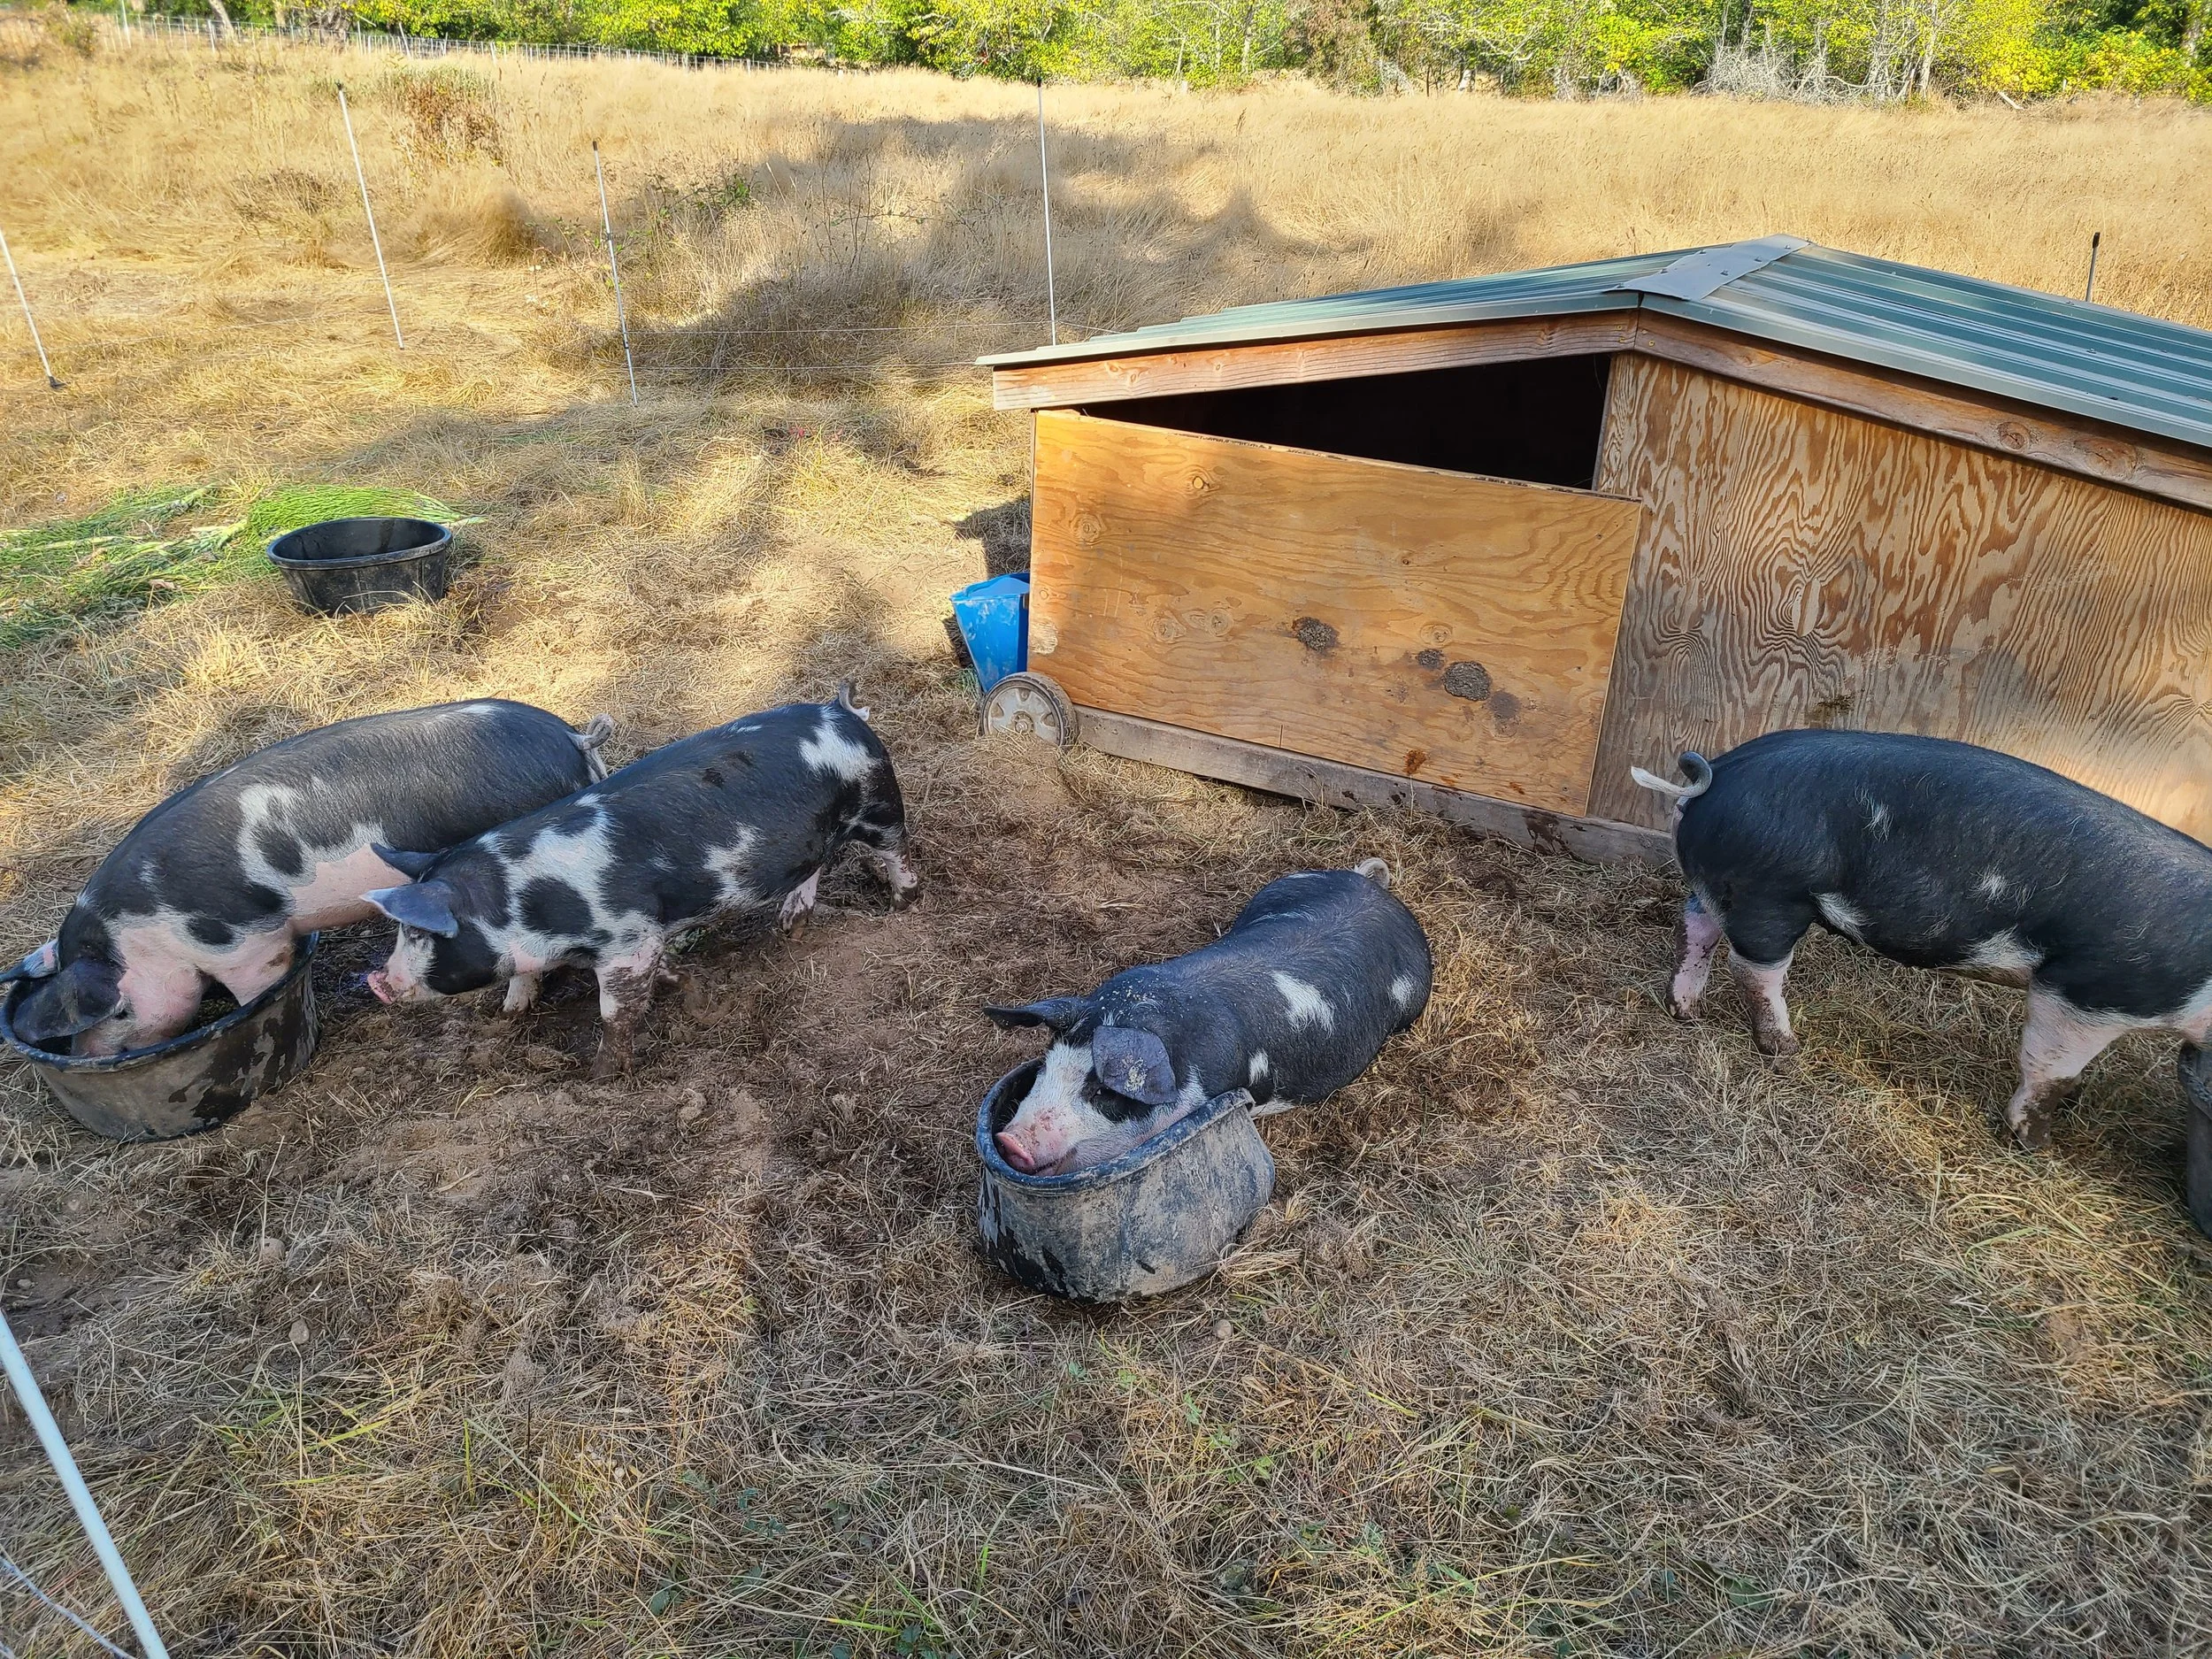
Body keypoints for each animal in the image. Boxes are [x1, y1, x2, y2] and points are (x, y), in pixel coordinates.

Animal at [1, 701, 614, 1057]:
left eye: (121, 1009)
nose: (88, 1056)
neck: (146, 930)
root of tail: (574, 738)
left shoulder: (246, 943)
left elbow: (256, 991)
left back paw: (508, 1010)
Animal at [361, 684, 918, 1077]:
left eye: (418, 933)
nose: (378, 982)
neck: (527, 902)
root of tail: (842, 713)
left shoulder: (627, 940)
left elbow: (615, 1011)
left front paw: (602, 1076)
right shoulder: (641, 938)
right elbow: (664, 971)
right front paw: (693, 992)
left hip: (878, 803)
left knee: (896, 850)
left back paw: (903, 904)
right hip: (812, 835)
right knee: (812, 866)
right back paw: (789, 928)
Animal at [1633, 728, 2212, 1149]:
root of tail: (1717, 776)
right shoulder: (2088, 992)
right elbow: (2052, 1070)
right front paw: (2039, 1147)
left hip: (1723, 886)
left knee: (1696, 927)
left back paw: (1685, 1011)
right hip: (1771, 893)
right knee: (1754, 968)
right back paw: (1786, 1050)